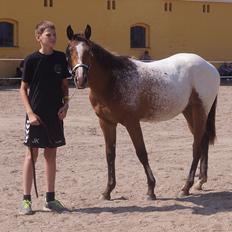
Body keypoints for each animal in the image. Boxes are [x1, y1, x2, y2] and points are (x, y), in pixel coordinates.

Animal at [65, 24, 219, 199]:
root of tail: (210, 67)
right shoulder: (106, 122)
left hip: (200, 111)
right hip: (189, 112)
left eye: (89, 51)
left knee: (196, 147)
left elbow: (141, 152)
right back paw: (200, 182)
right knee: (203, 140)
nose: (80, 79)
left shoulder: (132, 122)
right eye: (69, 51)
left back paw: (186, 187)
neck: (113, 80)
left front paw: (151, 189)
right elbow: (110, 154)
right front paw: (107, 190)